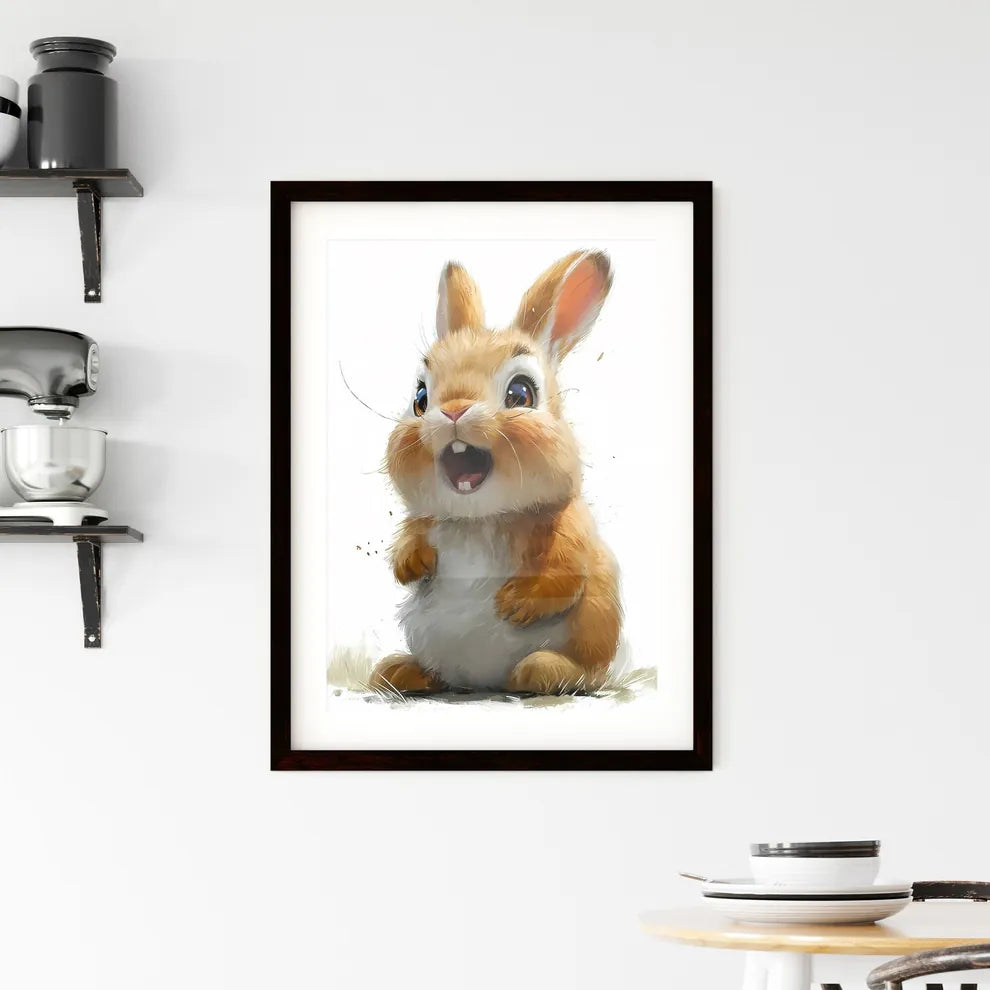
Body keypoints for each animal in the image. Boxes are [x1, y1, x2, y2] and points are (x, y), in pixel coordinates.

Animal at [370, 250, 622, 695]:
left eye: (521, 393)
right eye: (421, 398)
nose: (453, 410)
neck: (480, 518)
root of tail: (482, 682)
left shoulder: (570, 527)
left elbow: (565, 573)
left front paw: (515, 602)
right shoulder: (426, 519)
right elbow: (412, 534)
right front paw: (412, 563)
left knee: (583, 674)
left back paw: (542, 670)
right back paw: (401, 671)